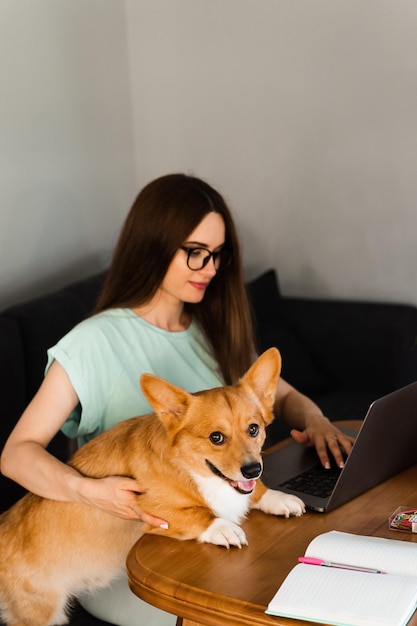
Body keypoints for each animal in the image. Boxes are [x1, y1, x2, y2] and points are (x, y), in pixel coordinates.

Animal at [0, 346, 302, 624]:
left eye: (254, 429)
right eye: (216, 437)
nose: (253, 469)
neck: (191, 471)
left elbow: (254, 492)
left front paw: (277, 498)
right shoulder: (149, 511)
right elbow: (199, 514)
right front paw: (224, 528)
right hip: (42, 611)